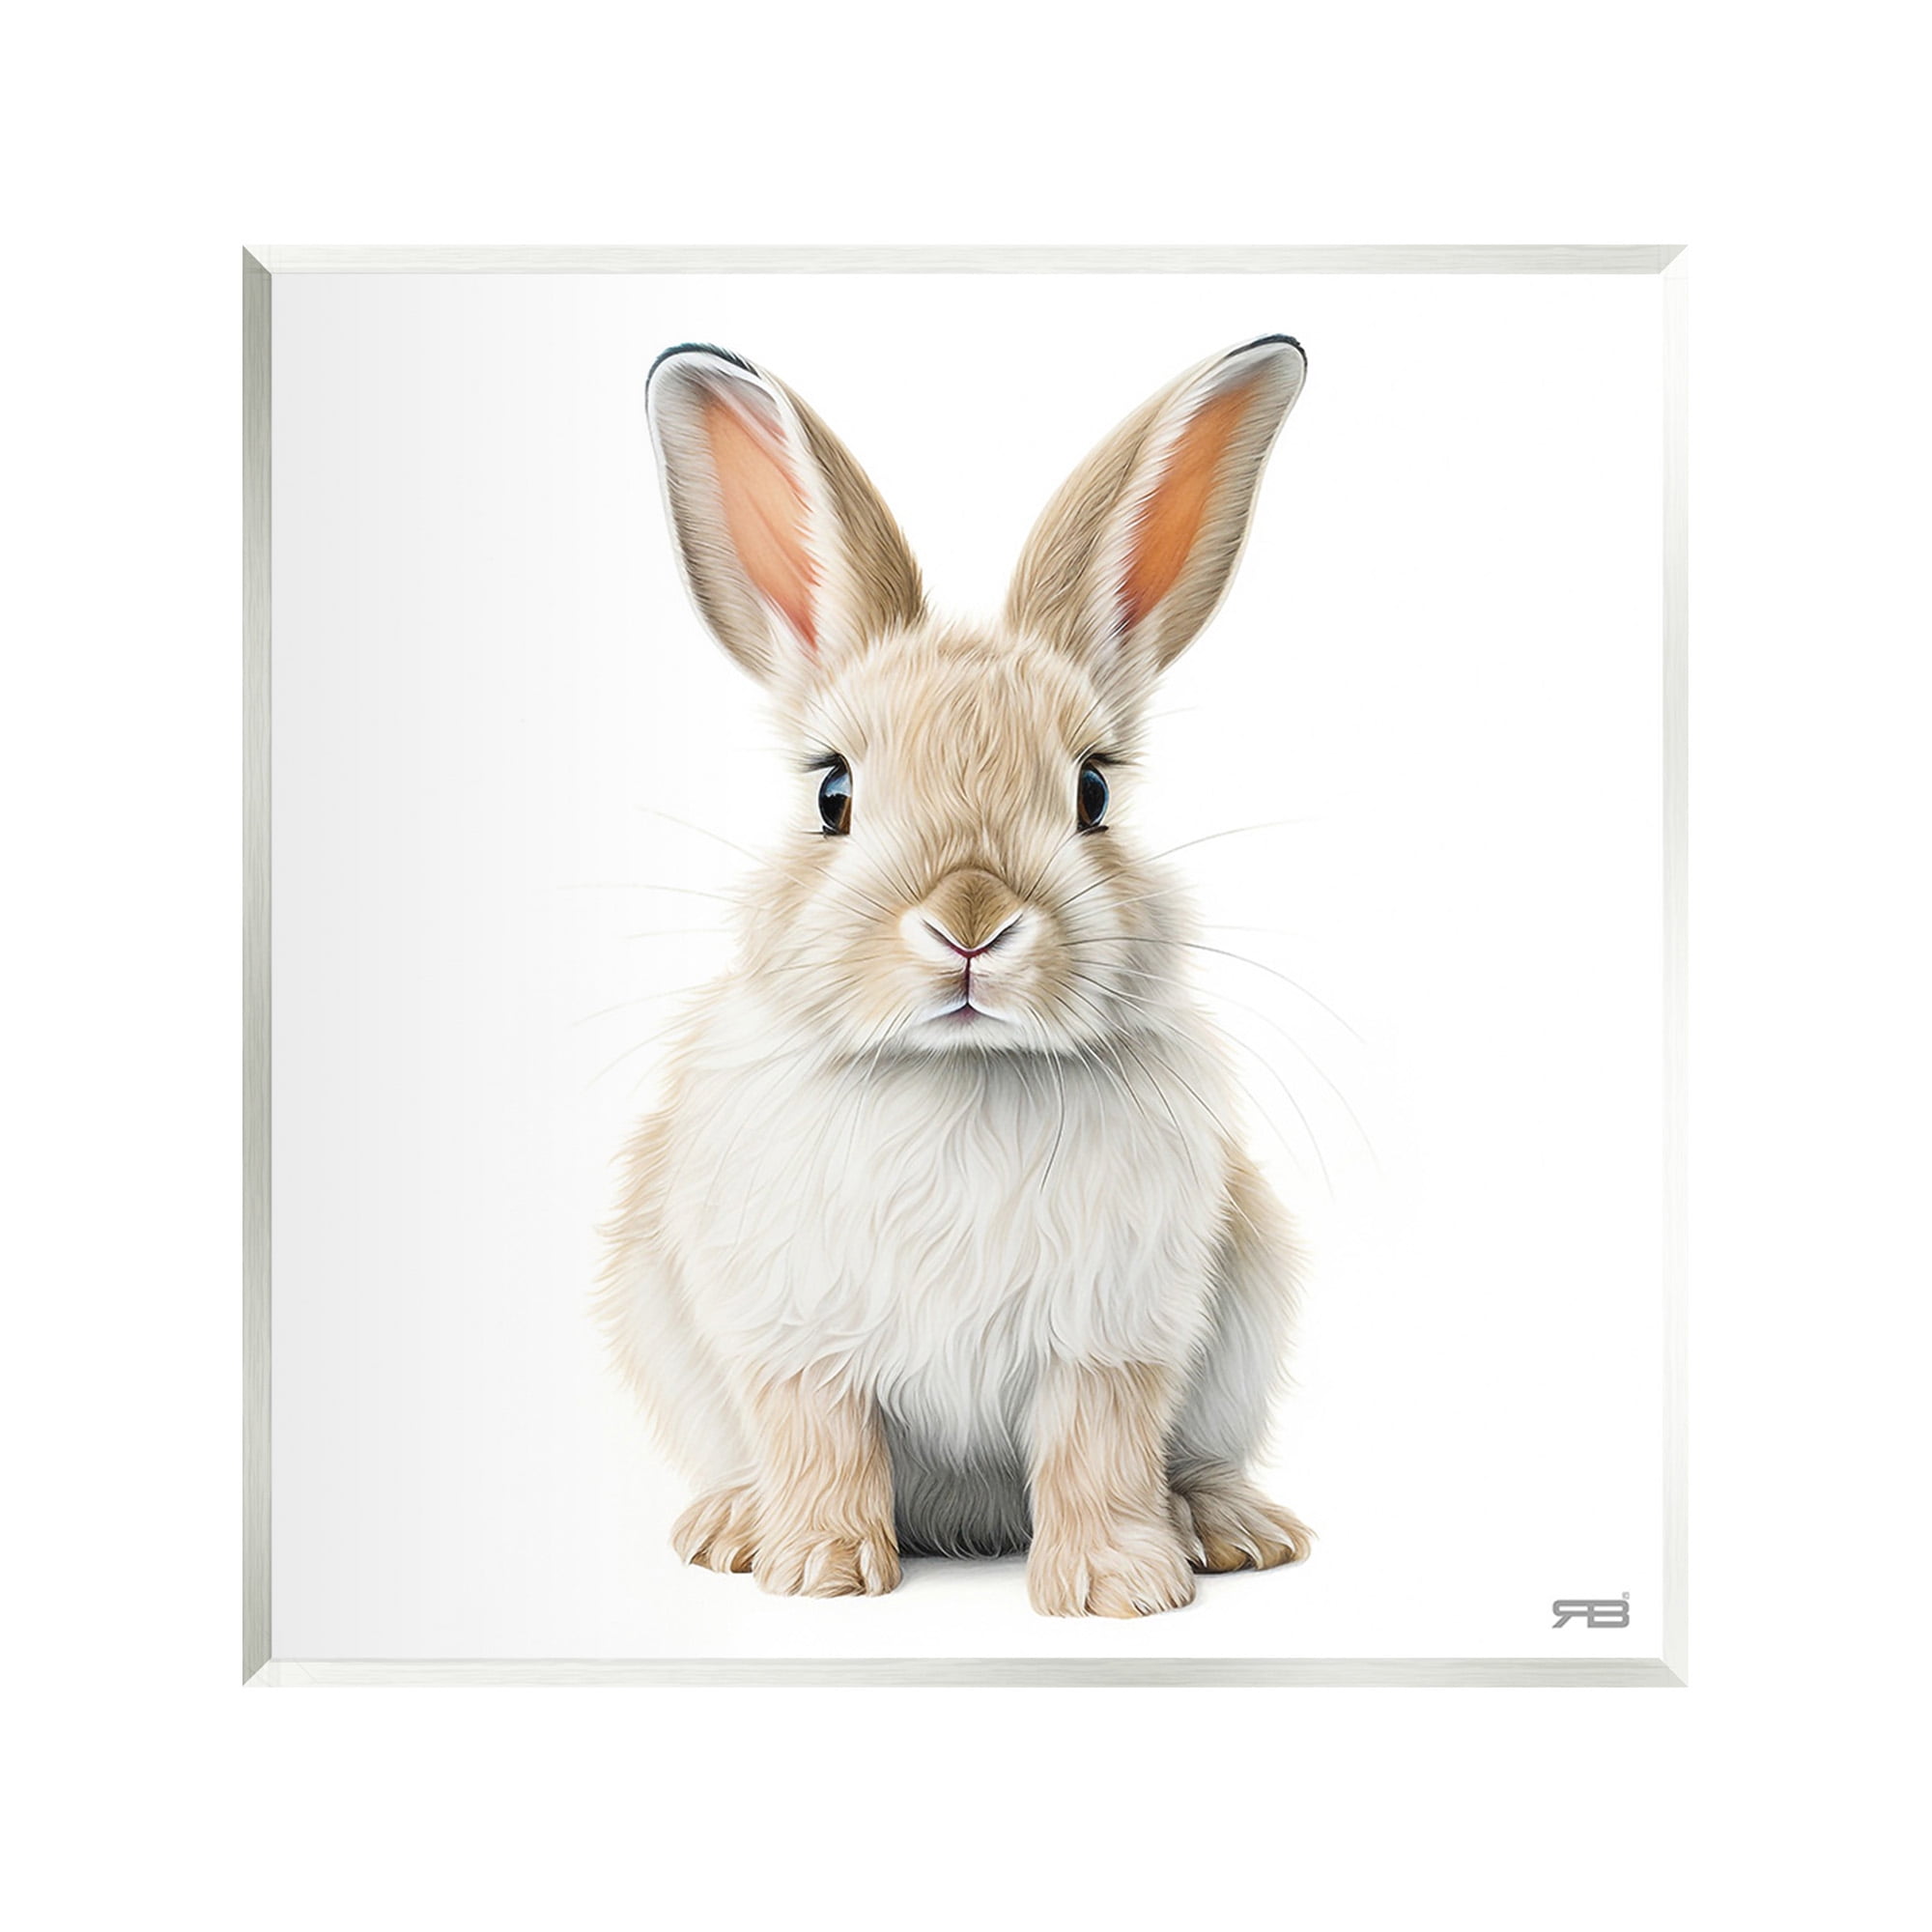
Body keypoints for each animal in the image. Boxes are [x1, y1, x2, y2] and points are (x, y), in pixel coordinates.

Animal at [598, 334, 1314, 1616]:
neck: (958, 1069)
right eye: (832, 793)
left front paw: (1117, 1589)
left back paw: (1226, 1528)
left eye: (1092, 790)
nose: (969, 919)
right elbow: (820, 1438)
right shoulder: (794, 1333)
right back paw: (732, 1525)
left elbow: (1097, 1448)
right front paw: (820, 1570)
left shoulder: (1112, 1333)